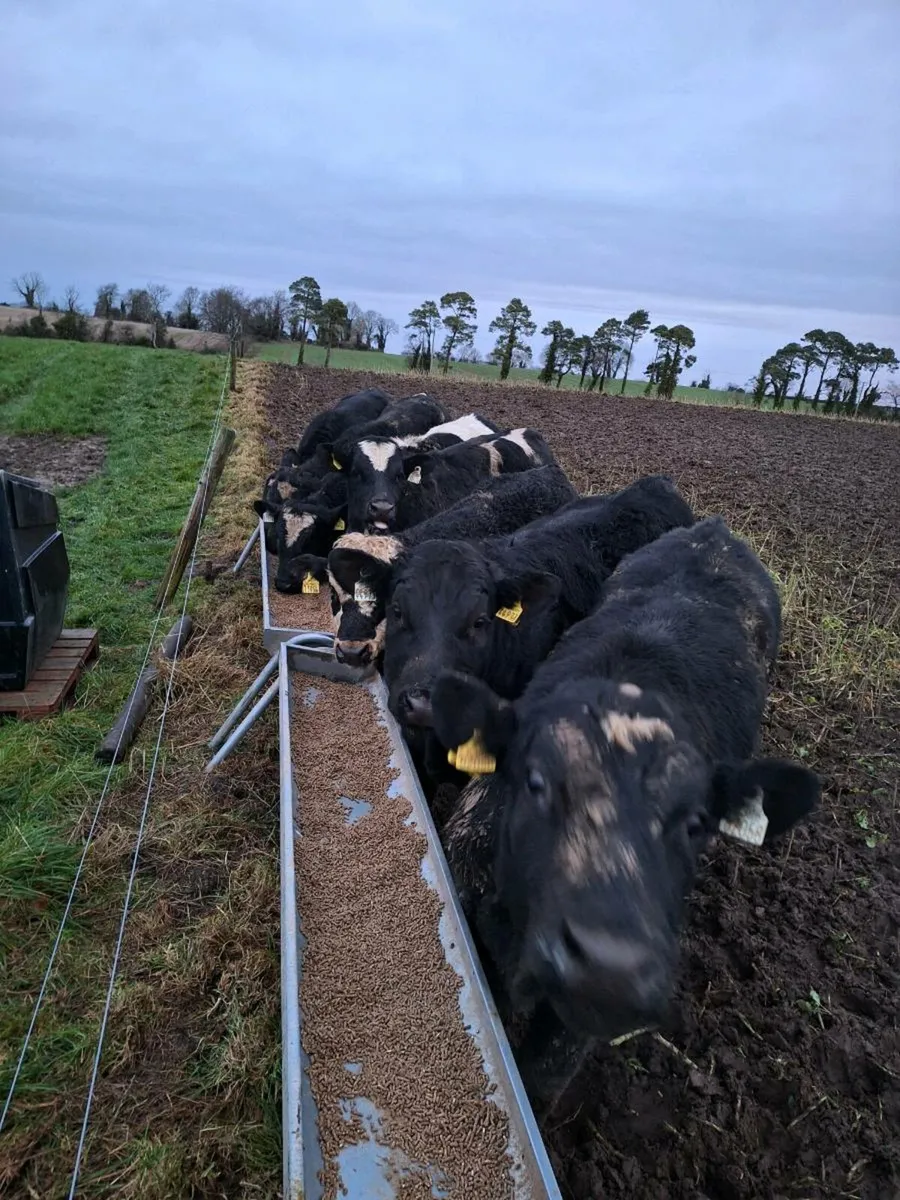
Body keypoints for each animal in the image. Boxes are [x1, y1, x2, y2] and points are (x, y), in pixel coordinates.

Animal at [429, 516, 821, 1119]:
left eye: (695, 823)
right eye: (536, 781)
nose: (611, 970)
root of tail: (715, 530)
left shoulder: (569, 1032)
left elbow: (540, 1081)